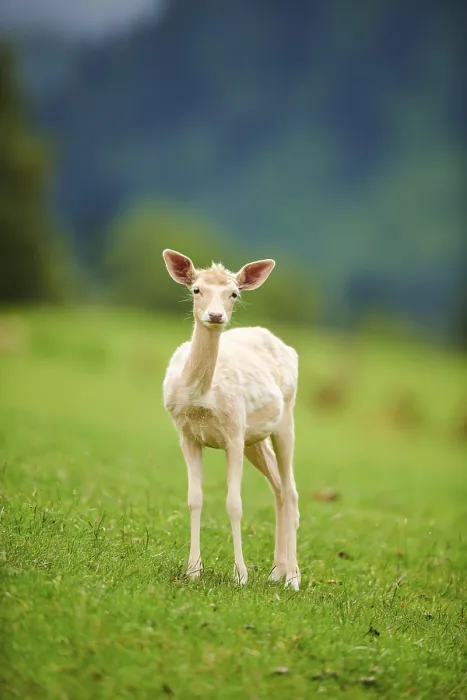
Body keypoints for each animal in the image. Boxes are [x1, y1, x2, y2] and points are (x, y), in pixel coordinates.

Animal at [162, 249, 300, 590]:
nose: (215, 316)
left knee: (291, 490)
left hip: (285, 420)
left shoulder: (234, 433)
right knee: (278, 488)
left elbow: (234, 504)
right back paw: (276, 572)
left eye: (234, 293)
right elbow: (194, 498)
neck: (201, 396)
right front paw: (193, 570)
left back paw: (293, 578)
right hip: (256, 438)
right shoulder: (186, 434)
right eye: (196, 289)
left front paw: (240, 575)